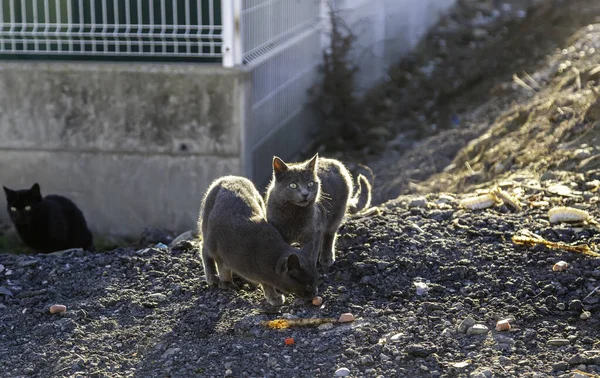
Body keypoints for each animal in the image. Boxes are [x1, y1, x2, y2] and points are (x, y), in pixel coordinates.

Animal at [198, 176, 322, 306]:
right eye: (308, 286)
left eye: (316, 282)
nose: (315, 292)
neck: (270, 256)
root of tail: (229, 177)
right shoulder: (219, 251)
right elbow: (223, 268)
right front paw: (226, 282)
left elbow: (266, 283)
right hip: (207, 231)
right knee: (203, 248)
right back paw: (212, 276)